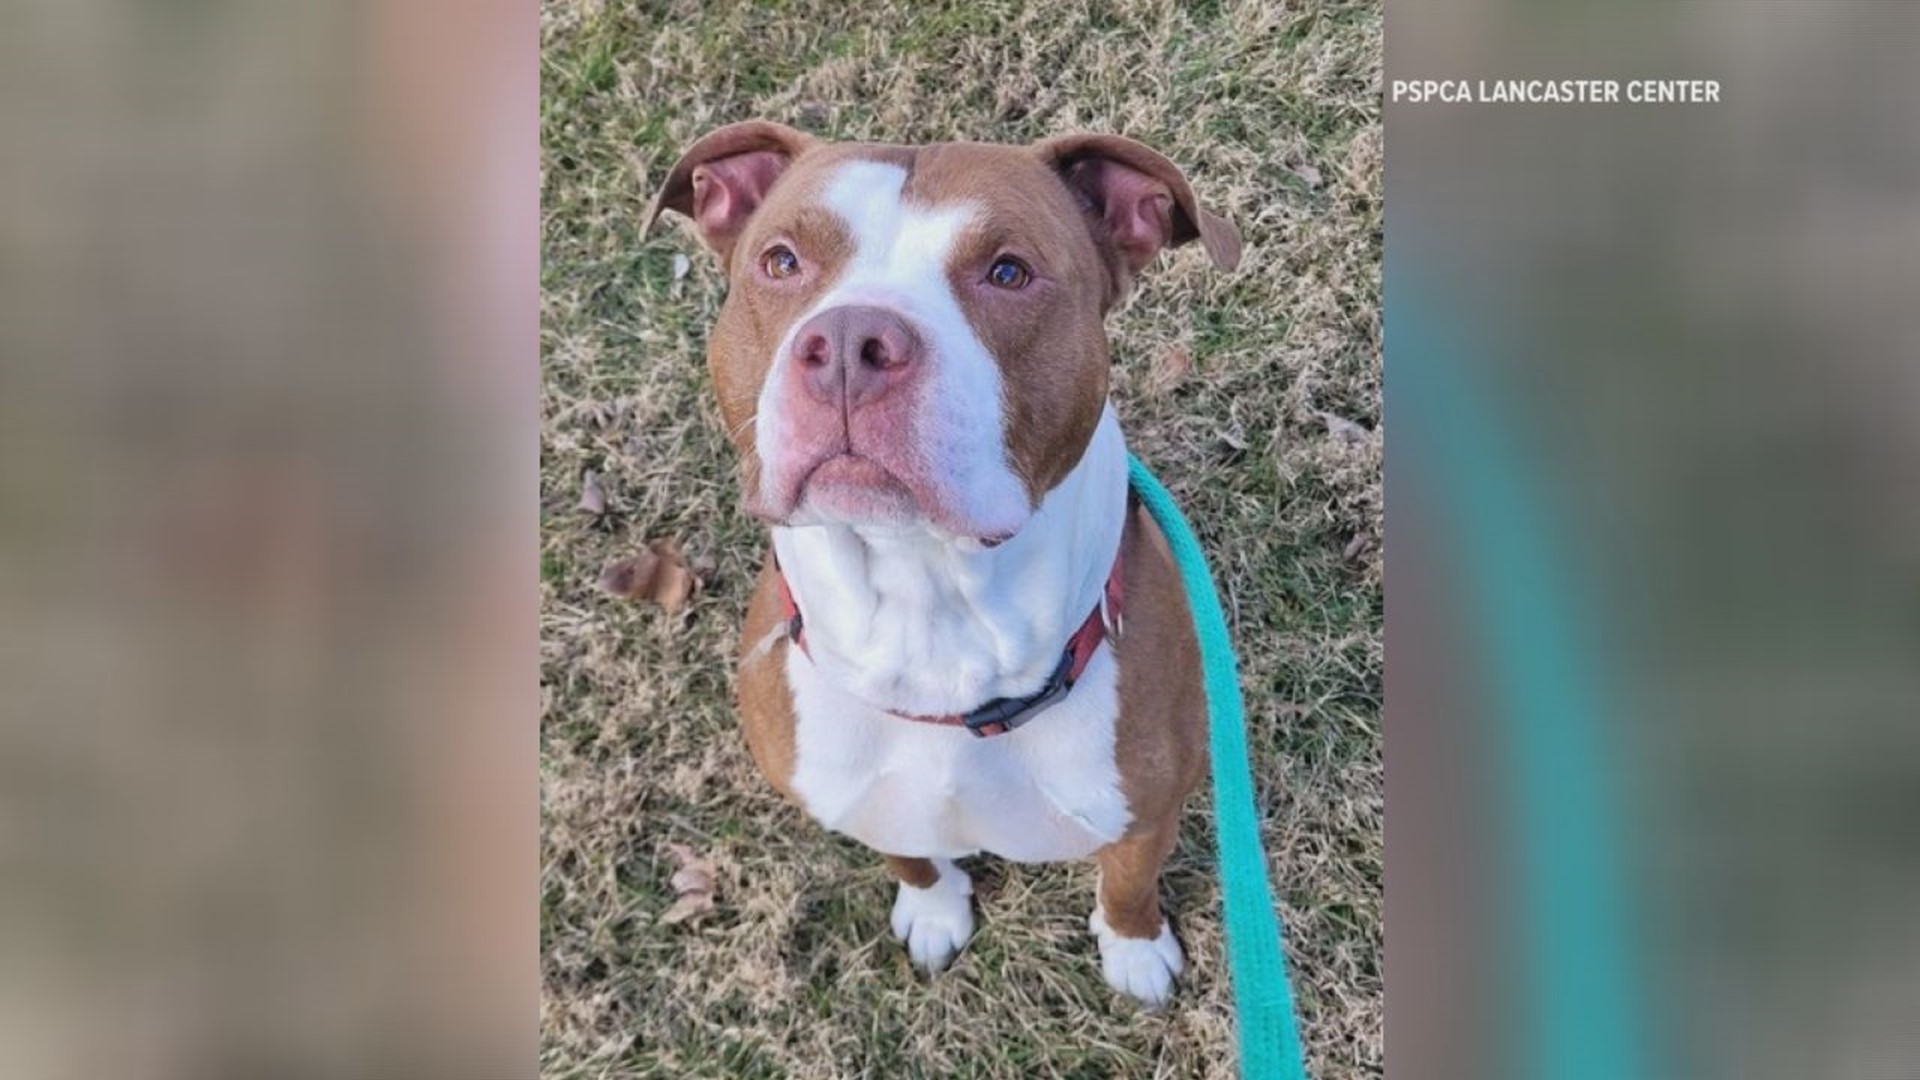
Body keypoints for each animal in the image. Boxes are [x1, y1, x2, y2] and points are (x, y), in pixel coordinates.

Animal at [648, 117, 1244, 999]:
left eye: (1008, 272)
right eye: (782, 261)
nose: (850, 342)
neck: (930, 619)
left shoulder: (1146, 812)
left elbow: (1128, 882)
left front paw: (1134, 950)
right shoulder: (862, 799)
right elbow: (911, 856)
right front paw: (934, 910)